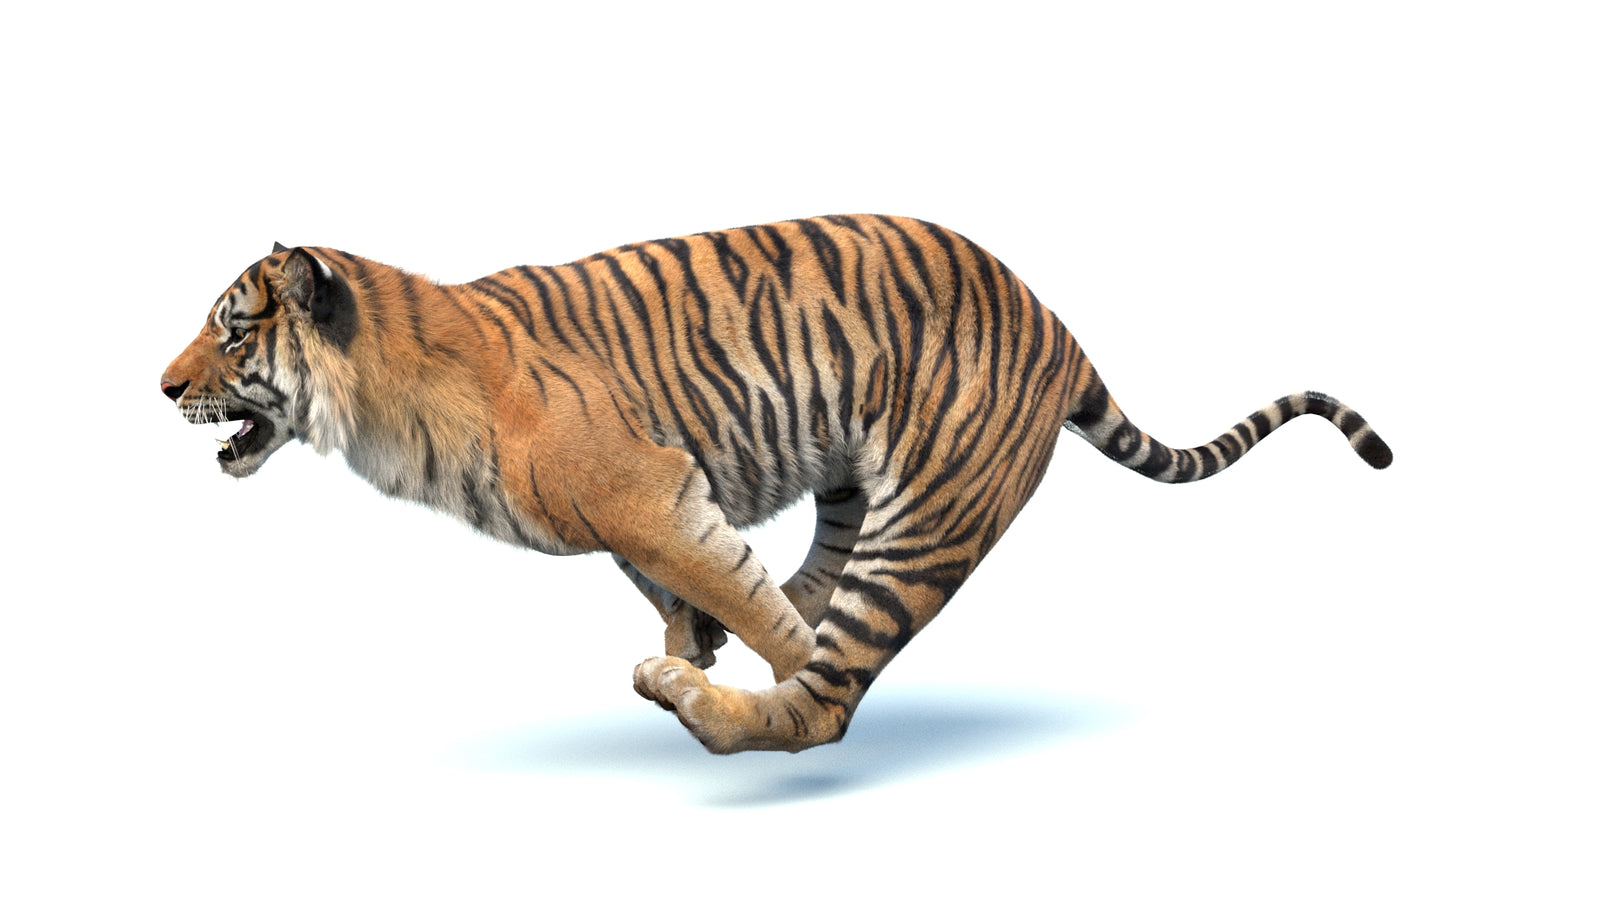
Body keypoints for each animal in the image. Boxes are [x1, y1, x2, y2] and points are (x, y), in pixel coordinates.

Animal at [160, 215, 1391, 753]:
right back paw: (708, 662)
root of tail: (1055, 321)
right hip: (857, 490)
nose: (161, 386)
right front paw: (694, 636)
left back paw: (720, 699)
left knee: (825, 701)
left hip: (930, 513)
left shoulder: (644, 490)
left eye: (232, 333)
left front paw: (725, 650)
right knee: (808, 591)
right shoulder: (654, 507)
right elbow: (697, 585)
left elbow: (733, 591)